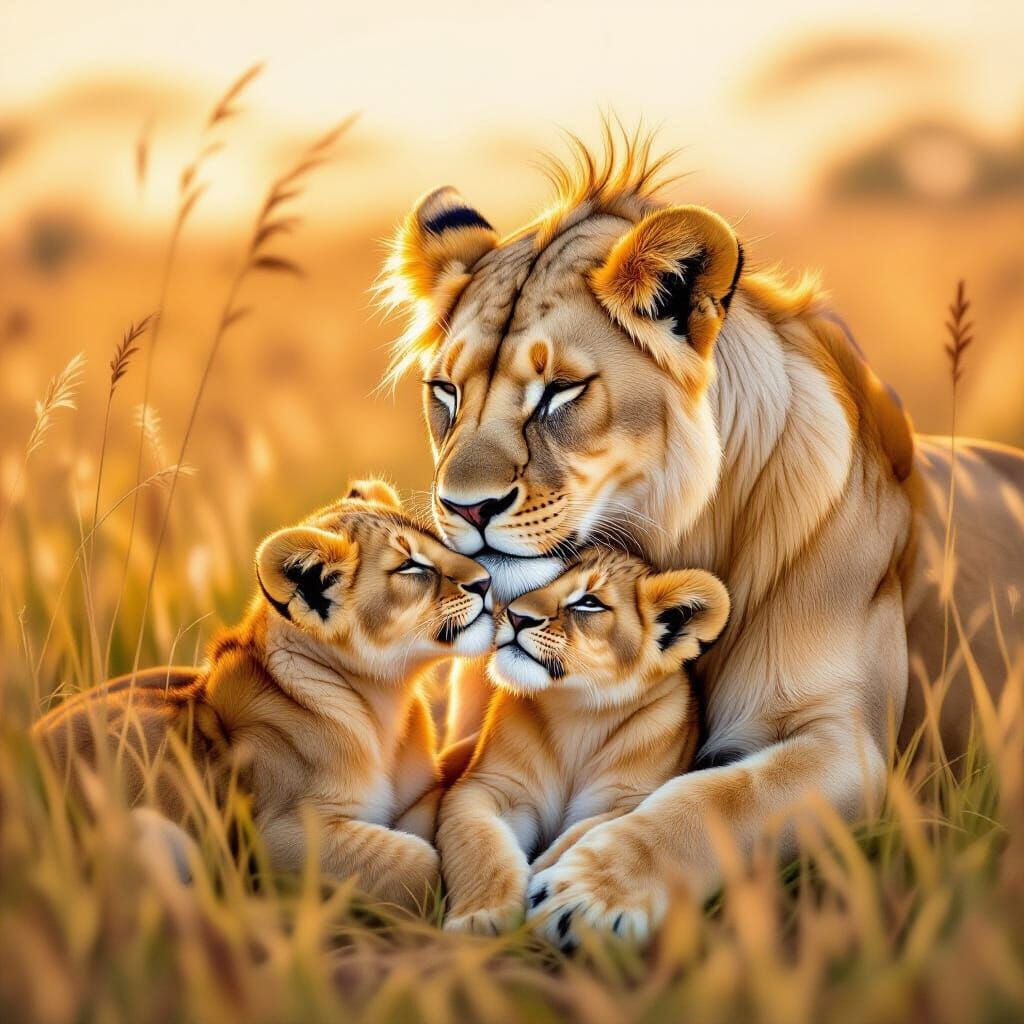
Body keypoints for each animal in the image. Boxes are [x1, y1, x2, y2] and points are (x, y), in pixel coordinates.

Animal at [33, 480, 494, 911]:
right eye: (410, 566)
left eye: (440, 543)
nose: (487, 580)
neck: (384, 701)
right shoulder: (277, 835)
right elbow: (419, 862)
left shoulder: (421, 793)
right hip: (154, 830)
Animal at [379, 128, 1024, 944]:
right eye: (445, 392)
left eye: (560, 392)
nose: (464, 509)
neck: (670, 550)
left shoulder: (850, 745)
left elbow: (717, 799)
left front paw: (592, 891)